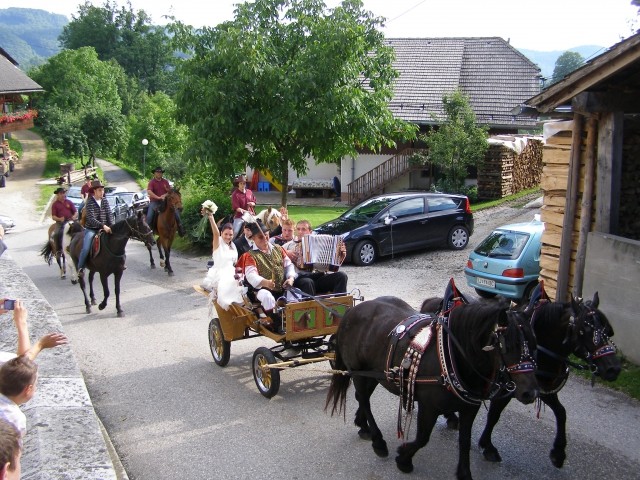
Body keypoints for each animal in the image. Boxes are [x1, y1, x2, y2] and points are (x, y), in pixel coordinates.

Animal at [324, 294, 540, 478]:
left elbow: (464, 440)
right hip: (357, 371)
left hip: (373, 374)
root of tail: (352, 311)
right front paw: (404, 459)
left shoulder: (470, 407)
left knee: (362, 398)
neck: (452, 356)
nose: (530, 393)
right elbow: (422, 437)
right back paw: (378, 441)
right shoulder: (429, 407)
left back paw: (363, 426)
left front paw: (464, 473)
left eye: (535, 344)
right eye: (508, 346)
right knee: (364, 400)